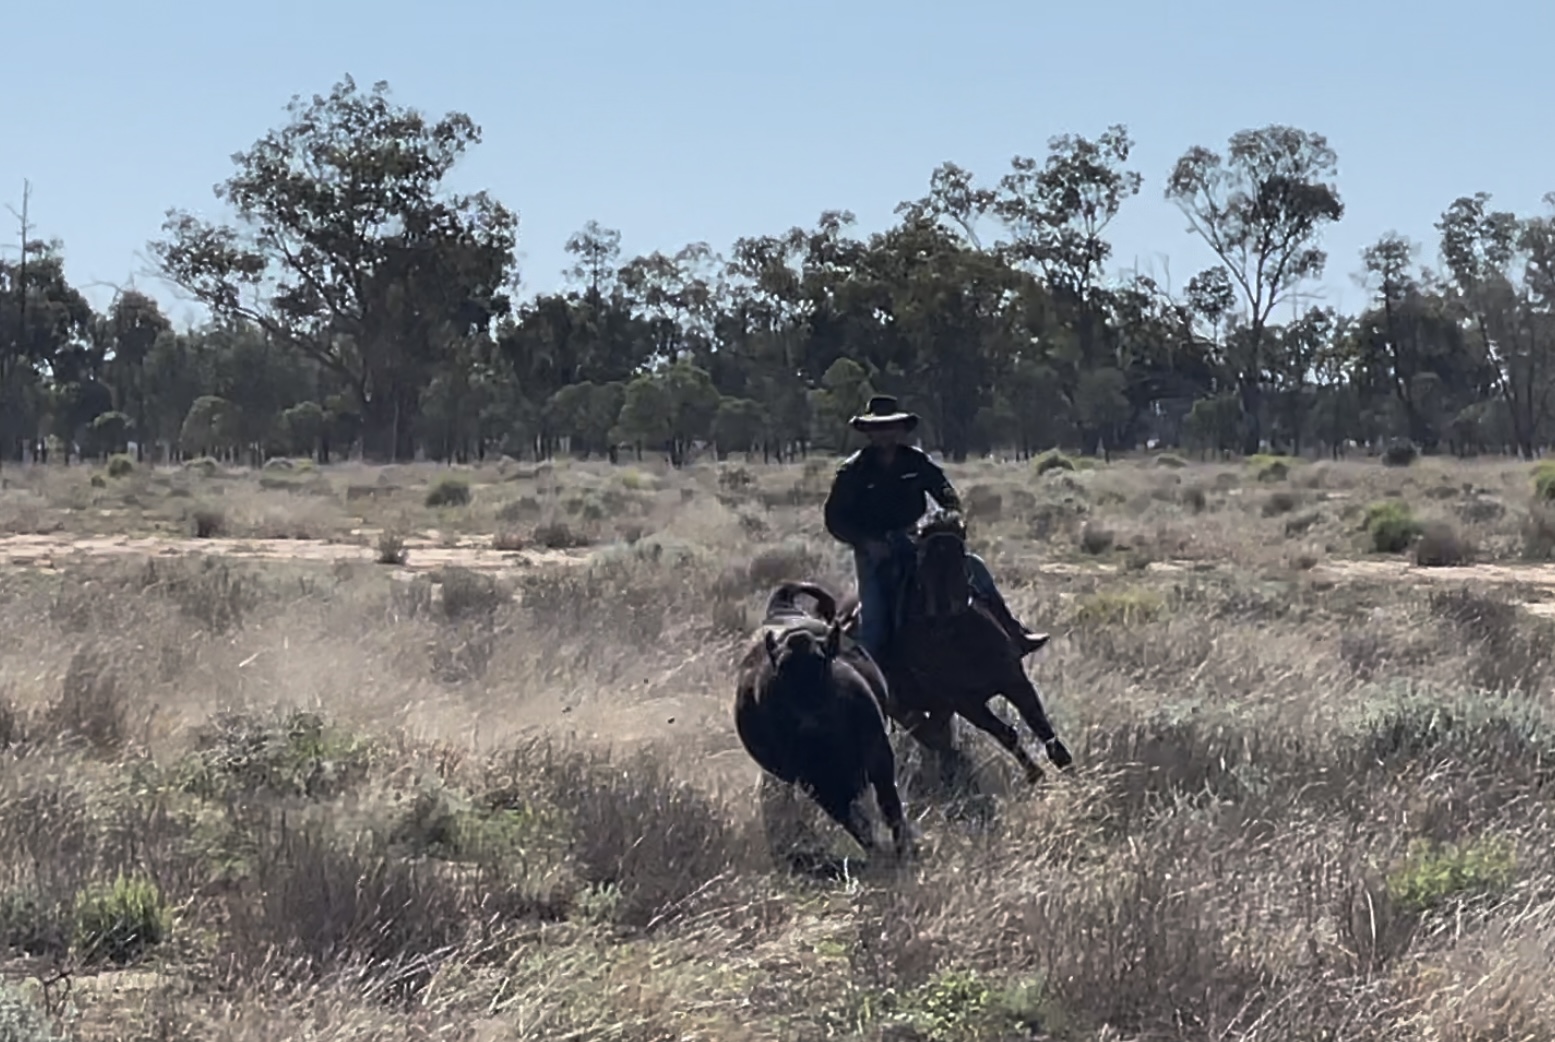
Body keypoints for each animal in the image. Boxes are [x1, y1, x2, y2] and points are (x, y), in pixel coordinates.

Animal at [838, 512, 1074, 786]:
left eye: (960, 553)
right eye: (925, 559)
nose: (950, 605)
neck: (959, 641)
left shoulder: (1014, 680)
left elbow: (1039, 723)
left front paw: (1065, 764)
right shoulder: (966, 703)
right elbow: (1007, 733)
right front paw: (1036, 774)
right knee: (933, 737)